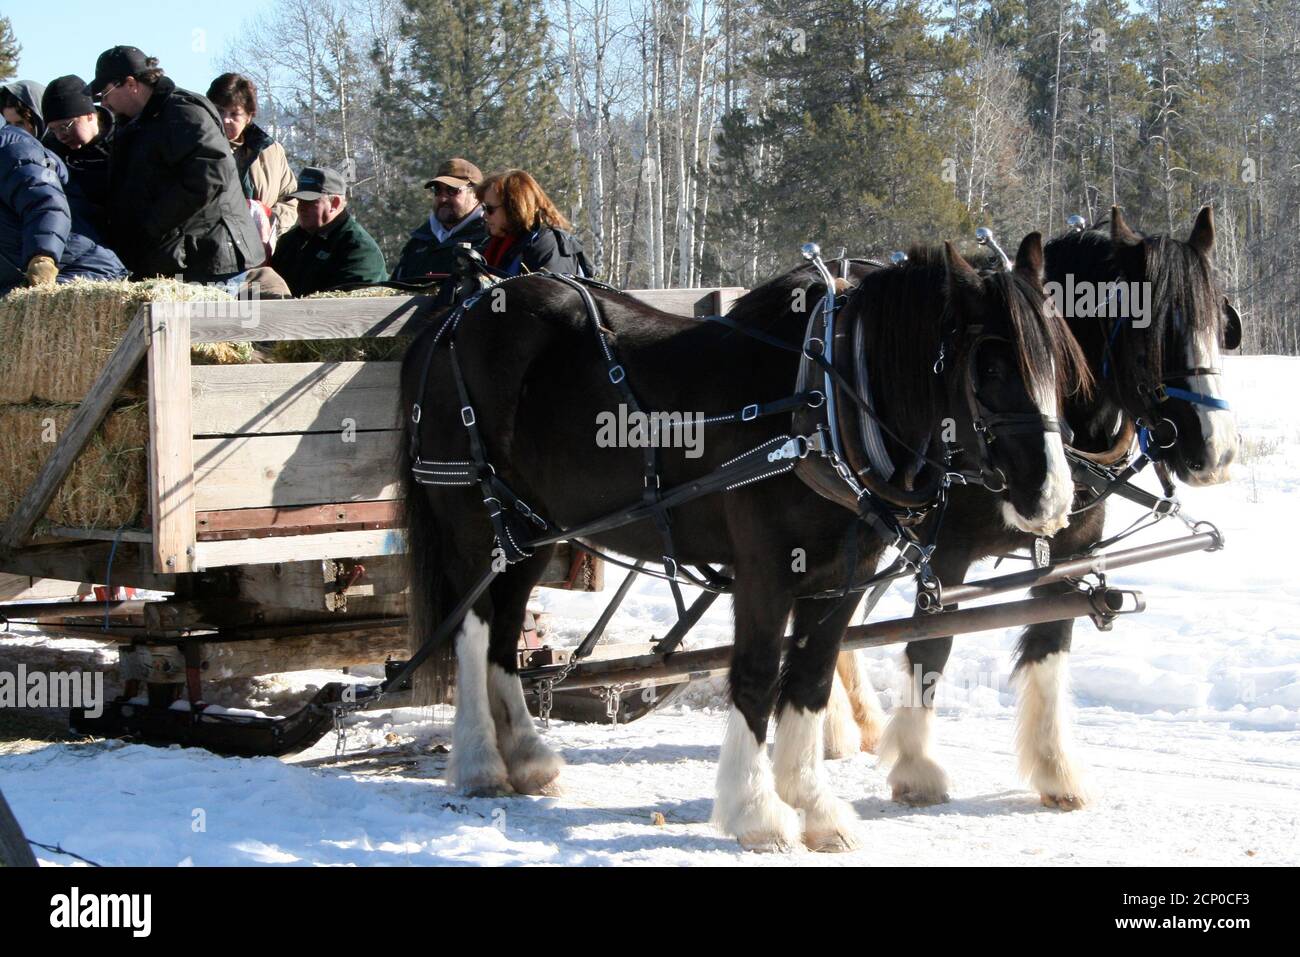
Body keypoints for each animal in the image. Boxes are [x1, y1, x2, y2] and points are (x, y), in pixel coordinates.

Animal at [398, 234, 1085, 850]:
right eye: (989, 366)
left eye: (1058, 361)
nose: (1053, 498)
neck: (825, 401)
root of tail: (455, 314)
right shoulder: (765, 571)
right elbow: (756, 677)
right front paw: (755, 812)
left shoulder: (840, 576)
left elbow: (808, 683)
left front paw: (813, 806)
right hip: (474, 521)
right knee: (473, 628)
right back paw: (481, 761)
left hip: (533, 528)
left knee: (507, 629)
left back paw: (527, 756)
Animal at [827, 206, 1241, 809]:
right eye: (1152, 331)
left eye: (1219, 326)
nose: (1217, 451)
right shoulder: (944, 558)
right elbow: (932, 647)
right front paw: (917, 768)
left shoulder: (1072, 549)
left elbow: (1051, 639)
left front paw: (1056, 771)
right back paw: (836, 727)